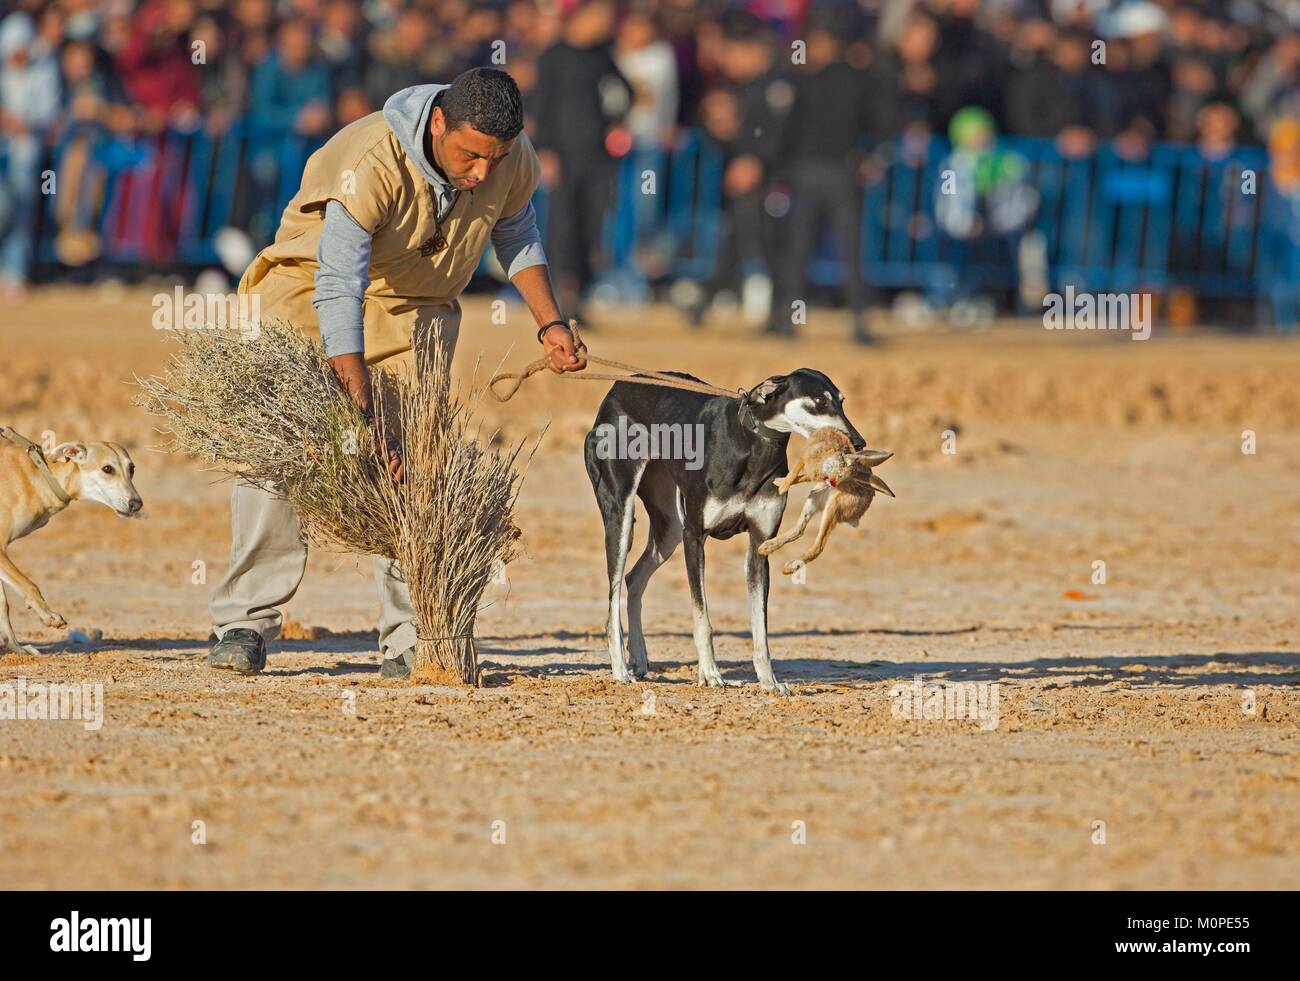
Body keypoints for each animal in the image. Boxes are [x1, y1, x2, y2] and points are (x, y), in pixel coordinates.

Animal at [0, 428, 142, 652]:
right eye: (107, 469)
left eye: (132, 469)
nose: (136, 504)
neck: (40, 476)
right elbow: (28, 584)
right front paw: (49, 616)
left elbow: (3, 606)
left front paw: (17, 648)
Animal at [590, 369, 873, 696]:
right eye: (820, 401)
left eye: (841, 401)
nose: (859, 442)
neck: (751, 444)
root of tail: (618, 386)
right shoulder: (694, 537)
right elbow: (702, 617)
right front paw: (710, 674)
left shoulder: (759, 545)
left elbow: (760, 627)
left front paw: (769, 681)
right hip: (622, 515)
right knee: (613, 598)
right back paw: (620, 669)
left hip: (669, 527)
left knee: (634, 578)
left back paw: (639, 655)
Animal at [754, 428, 894, 574]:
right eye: (843, 463)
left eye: (847, 475)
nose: (834, 482)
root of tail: (859, 514)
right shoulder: (810, 464)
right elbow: (801, 475)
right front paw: (779, 482)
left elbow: (797, 473)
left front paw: (781, 487)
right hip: (814, 497)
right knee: (799, 530)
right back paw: (766, 548)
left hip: (833, 507)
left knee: (819, 546)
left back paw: (788, 568)